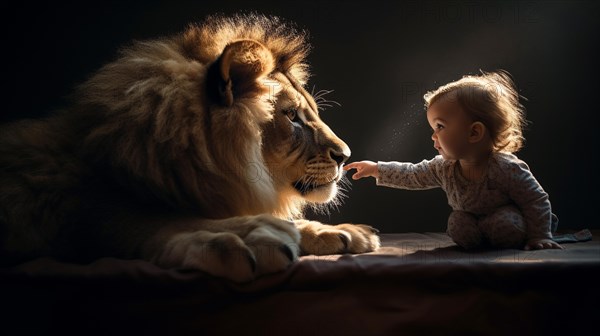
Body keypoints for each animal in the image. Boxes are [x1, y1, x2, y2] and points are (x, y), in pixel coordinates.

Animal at [0, 13, 380, 282]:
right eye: (291, 117)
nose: (345, 156)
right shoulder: (84, 211)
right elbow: (159, 223)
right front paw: (243, 238)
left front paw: (344, 232)